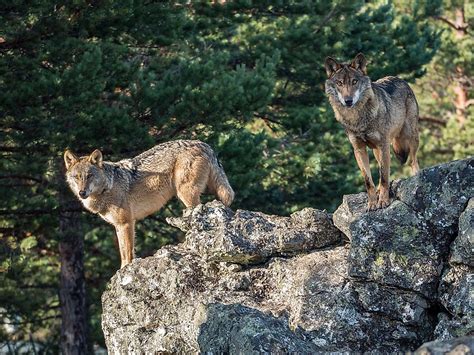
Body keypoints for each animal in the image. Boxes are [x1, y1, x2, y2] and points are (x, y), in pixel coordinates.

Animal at [64, 140, 234, 268]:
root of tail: (203, 144)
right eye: (77, 177)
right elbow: (123, 252)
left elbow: (128, 253)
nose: (82, 193)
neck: (108, 187)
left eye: (89, 176)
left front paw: (125, 271)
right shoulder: (118, 226)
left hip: (186, 194)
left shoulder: (126, 223)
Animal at [324, 52, 420, 211]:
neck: (358, 119)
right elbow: (368, 180)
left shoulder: (384, 145)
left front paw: (383, 201)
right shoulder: (359, 149)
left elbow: (384, 177)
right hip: (376, 151)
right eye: (340, 83)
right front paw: (372, 203)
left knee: (413, 160)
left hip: (409, 135)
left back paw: (417, 177)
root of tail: (399, 78)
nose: (348, 101)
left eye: (354, 81)